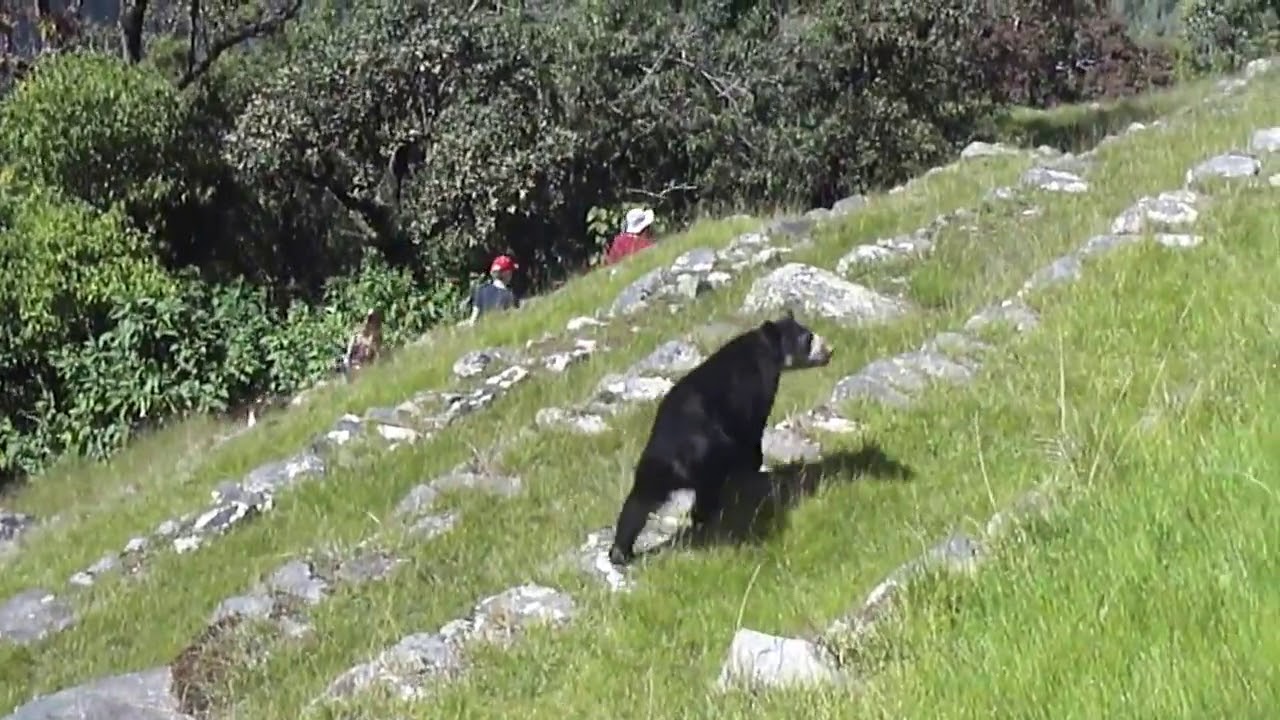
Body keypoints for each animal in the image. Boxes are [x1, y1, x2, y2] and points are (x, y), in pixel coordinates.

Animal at [608, 309, 835, 566]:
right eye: (807, 338)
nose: (829, 351)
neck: (763, 347)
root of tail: (677, 457)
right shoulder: (755, 385)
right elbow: (752, 427)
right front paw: (755, 465)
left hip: (654, 466)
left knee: (637, 502)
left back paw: (620, 551)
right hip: (710, 456)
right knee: (705, 492)